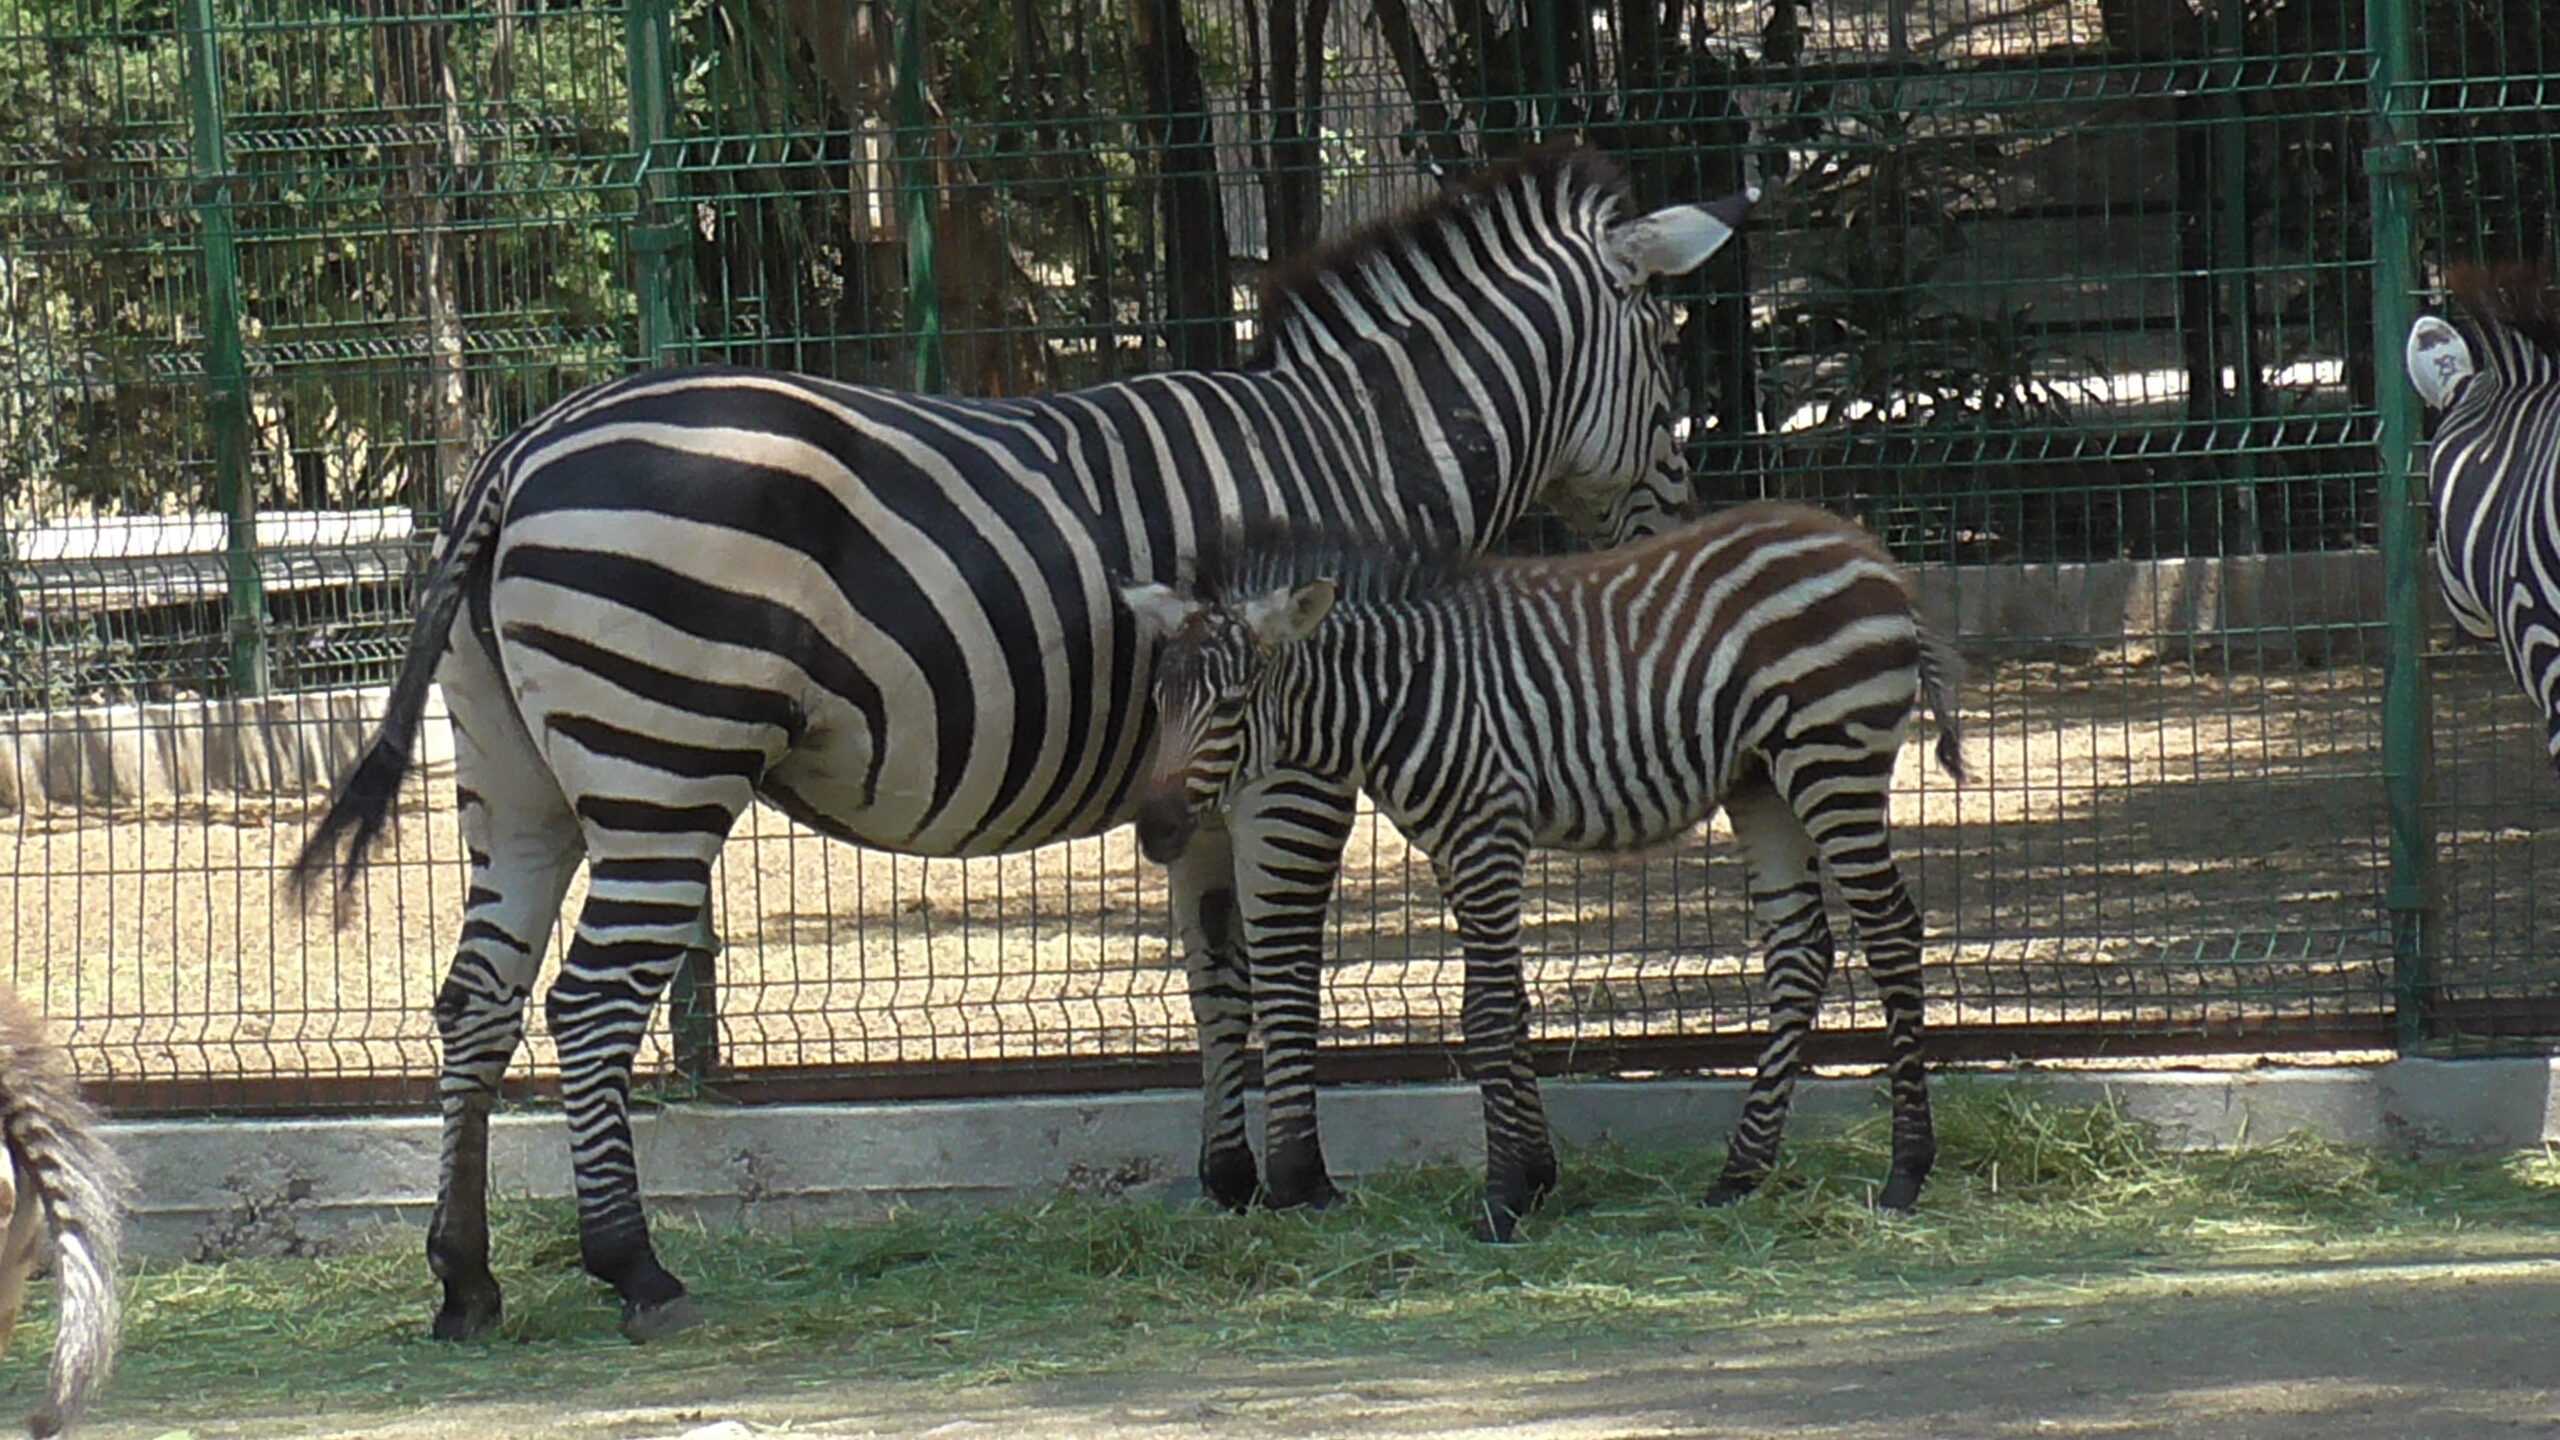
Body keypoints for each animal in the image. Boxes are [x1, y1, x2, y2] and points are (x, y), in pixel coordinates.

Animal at [287, 146, 1759, 1339]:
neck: (1362, 464)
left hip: (515, 775)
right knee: (590, 1006)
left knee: (475, 1003)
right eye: (1665, 354)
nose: (1683, 518)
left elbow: (1215, 977)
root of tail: (517, 452)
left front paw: (1229, 1183)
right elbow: (1287, 966)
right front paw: (1306, 1185)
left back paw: (466, 1281)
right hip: (664, 759)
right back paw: (633, 1269)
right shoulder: (1293, 760)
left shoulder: (1203, 771)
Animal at [1120, 500, 1967, 1241]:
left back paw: (1905, 1172)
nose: (1155, 829)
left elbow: (1488, 1013)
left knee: (1892, 931)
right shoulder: (1454, 843)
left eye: (1232, 702)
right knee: (1800, 950)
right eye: (1158, 697)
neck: (1400, 694)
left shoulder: (1486, 831)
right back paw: (1740, 1174)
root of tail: (1869, 555)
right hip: (1762, 780)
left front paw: (1501, 1199)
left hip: (1830, 756)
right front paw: (1534, 1176)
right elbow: (1510, 1004)